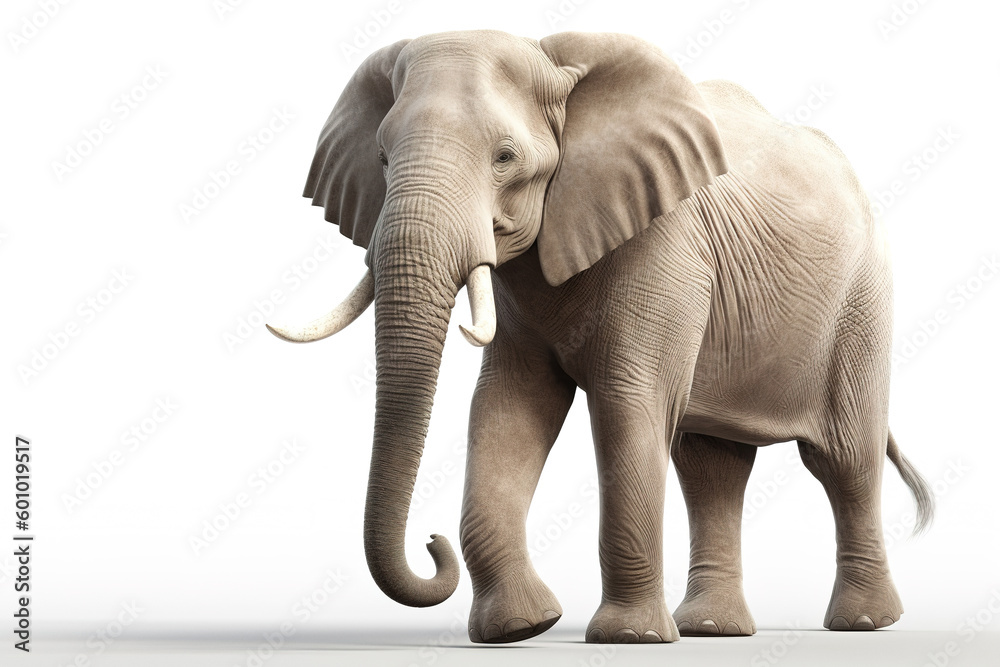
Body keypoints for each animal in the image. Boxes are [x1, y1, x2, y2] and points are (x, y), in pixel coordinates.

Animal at [267, 30, 935, 644]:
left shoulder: (666, 241)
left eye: (505, 157)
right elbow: (509, 407)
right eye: (382, 160)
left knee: (843, 458)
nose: (430, 543)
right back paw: (711, 628)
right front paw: (521, 629)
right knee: (711, 467)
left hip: (862, 302)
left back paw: (864, 623)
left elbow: (626, 402)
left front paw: (626, 638)